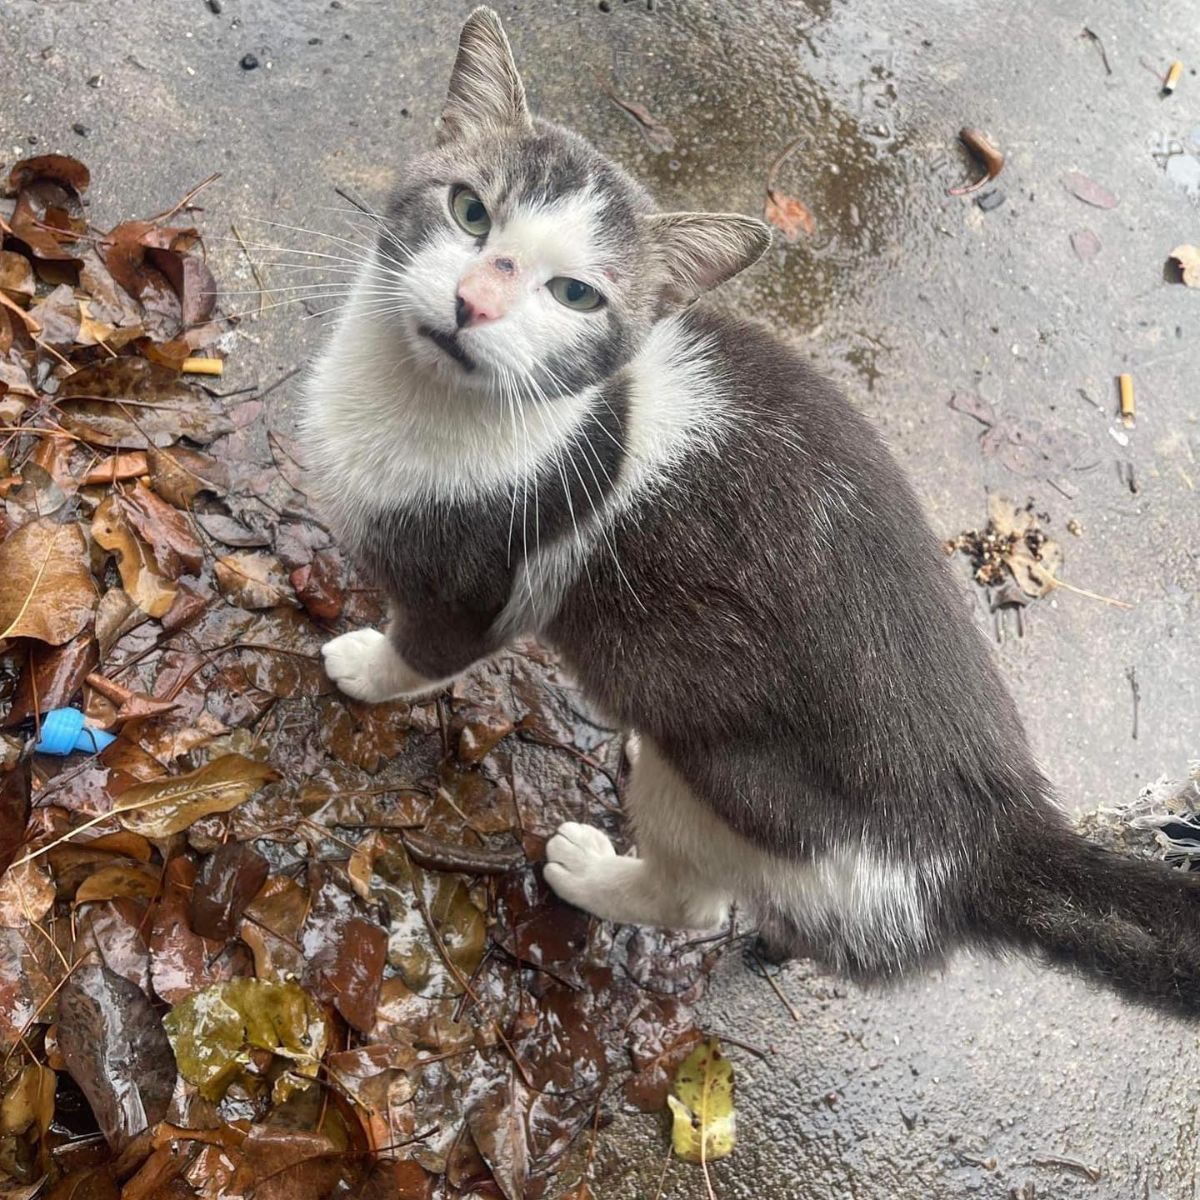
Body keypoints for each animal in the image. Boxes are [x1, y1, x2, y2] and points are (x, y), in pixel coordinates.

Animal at [302, 7, 1200, 1012]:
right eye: (469, 210)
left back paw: (594, 872)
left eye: (575, 294)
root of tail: (992, 838)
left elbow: (427, 650)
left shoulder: (483, 580)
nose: (474, 301)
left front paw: (363, 667)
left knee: (695, 897)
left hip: (721, 779)